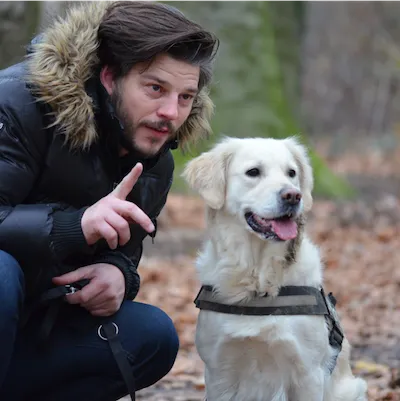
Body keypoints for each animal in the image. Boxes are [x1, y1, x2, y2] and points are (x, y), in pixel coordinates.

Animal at [183, 137, 368, 400]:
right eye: (253, 172)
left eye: (291, 173)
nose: (293, 195)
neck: (258, 279)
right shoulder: (220, 373)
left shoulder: (308, 373)